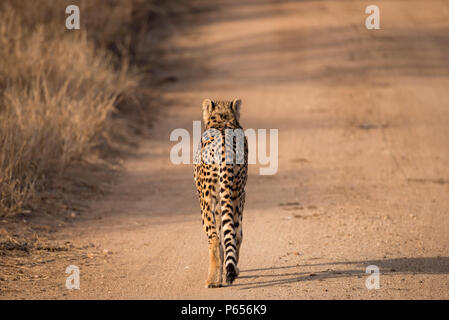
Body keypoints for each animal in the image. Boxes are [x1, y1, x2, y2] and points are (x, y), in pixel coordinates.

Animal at [192, 98, 248, 288]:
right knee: (234, 233)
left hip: (207, 199)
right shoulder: (235, 195)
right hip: (234, 195)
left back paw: (213, 279)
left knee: (215, 237)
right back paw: (228, 272)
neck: (222, 119)